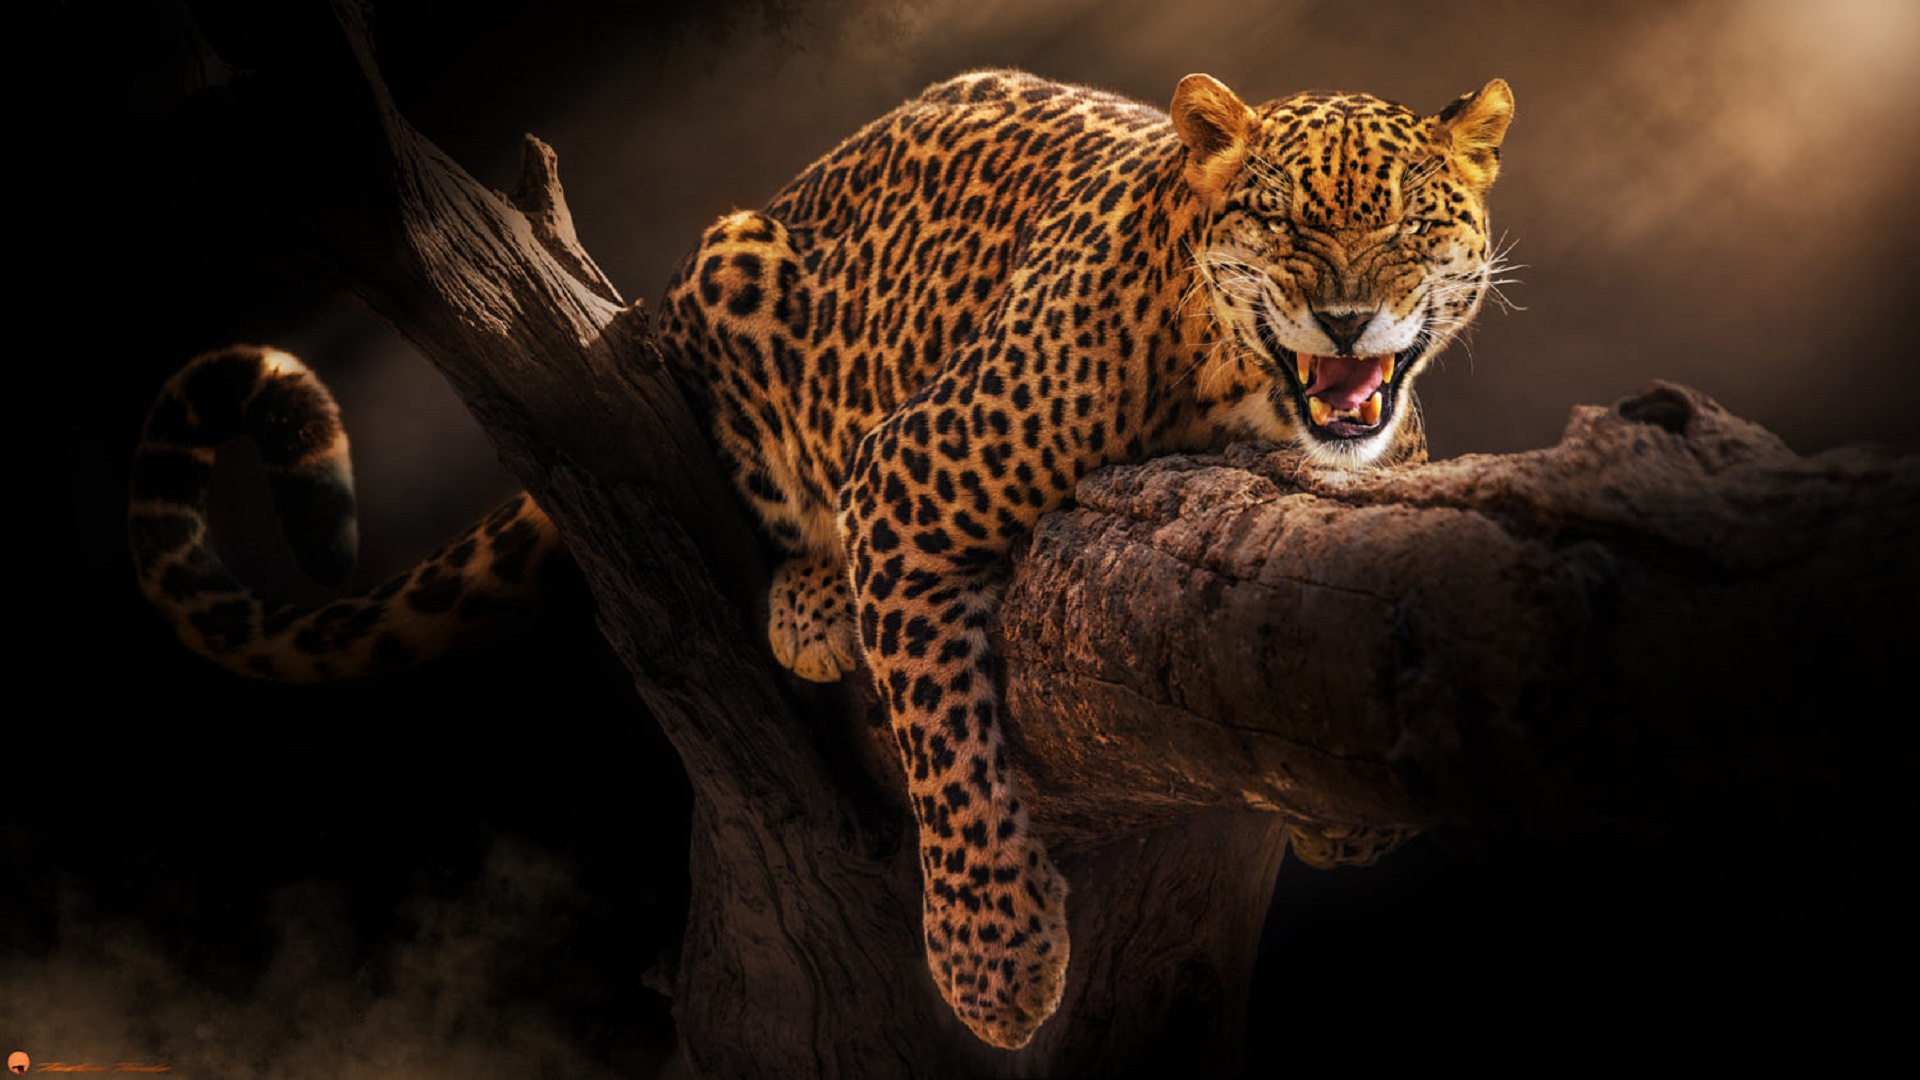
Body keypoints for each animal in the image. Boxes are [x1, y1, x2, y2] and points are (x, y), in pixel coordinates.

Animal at [129, 69, 1514, 1049]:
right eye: (1281, 220)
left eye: (1412, 224)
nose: (1347, 317)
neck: (1242, 393)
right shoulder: (906, 475)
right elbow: (946, 738)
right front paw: (994, 962)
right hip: (736, 273)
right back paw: (813, 604)